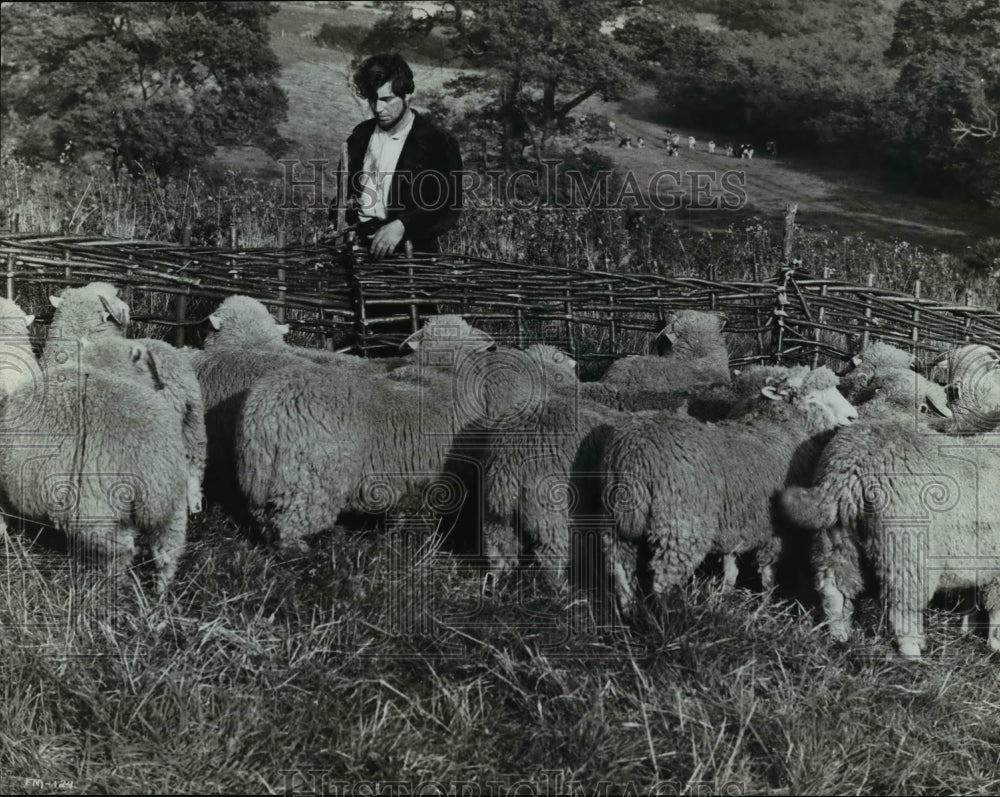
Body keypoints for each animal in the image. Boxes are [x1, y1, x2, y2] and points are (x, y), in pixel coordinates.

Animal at [0, 336, 190, 592]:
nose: (160, 386)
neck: (98, 367)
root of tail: (149, 463)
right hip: (173, 507)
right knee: (166, 551)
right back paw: (160, 590)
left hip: (95, 510)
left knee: (122, 547)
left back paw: (114, 580)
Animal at [596, 366, 856, 608]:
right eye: (812, 397)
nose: (853, 416)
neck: (781, 427)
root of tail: (635, 453)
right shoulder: (776, 528)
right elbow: (768, 573)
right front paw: (766, 604)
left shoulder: (735, 522)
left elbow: (730, 565)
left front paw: (725, 594)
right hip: (681, 527)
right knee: (662, 582)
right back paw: (666, 617)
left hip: (614, 523)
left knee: (620, 570)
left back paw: (631, 612)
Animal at [780, 408, 1000, 656]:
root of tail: (853, 463)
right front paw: (995, 643)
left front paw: (967, 630)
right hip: (906, 545)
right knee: (901, 604)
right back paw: (912, 651)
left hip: (834, 534)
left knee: (834, 588)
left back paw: (840, 637)